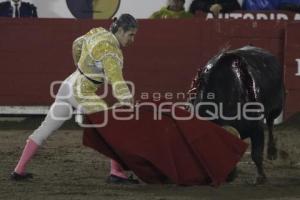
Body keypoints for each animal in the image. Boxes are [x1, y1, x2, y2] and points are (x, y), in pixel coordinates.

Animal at [189, 46, 284, 184]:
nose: (228, 177)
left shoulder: (257, 129)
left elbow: (256, 154)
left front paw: (261, 177)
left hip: (276, 108)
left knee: (271, 123)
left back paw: (272, 152)